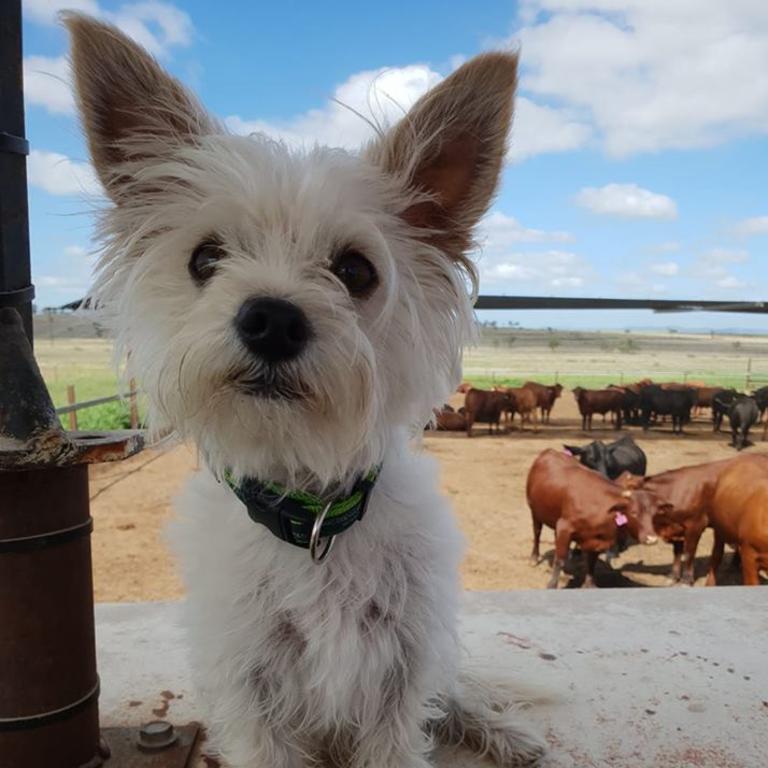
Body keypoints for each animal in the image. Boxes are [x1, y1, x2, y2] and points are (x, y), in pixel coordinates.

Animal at [64, 13, 544, 768]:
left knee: (453, 687)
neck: (311, 516)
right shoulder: (250, 683)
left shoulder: (402, 671)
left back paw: (502, 729)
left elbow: (407, 727)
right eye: (205, 257)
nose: (271, 318)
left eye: (355, 270)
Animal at [528, 450, 660, 588]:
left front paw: (589, 584)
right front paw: (552, 584)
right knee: (537, 533)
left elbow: (591, 562)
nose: (652, 539)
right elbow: (559, 560)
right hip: (535, 511)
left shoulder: (596, 539)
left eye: (654, 513)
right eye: (634, 513)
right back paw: (534, 558)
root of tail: (549, 451)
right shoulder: (564, 528)